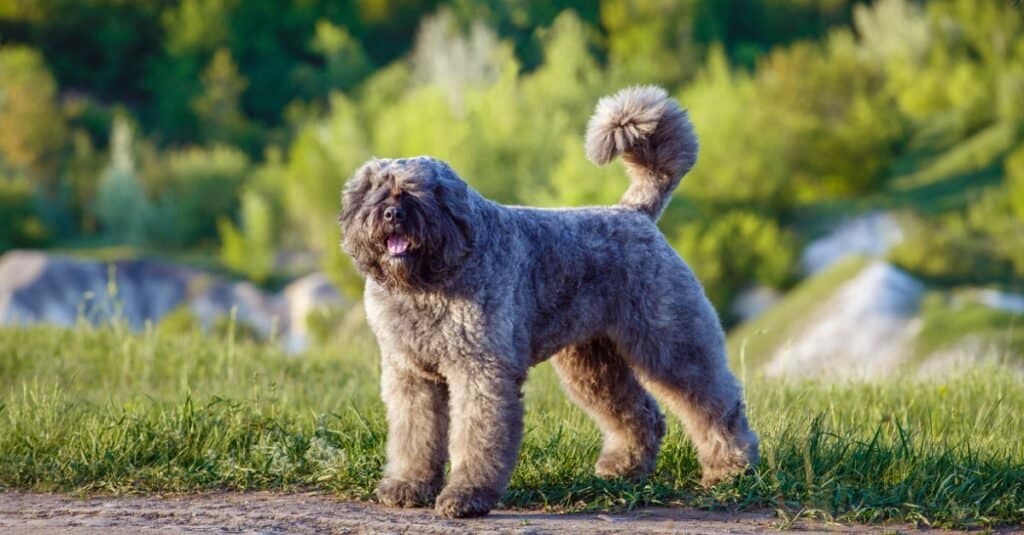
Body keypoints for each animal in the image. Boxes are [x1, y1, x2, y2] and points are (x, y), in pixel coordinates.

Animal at [339, 85, 757, 514]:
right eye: (373, 190)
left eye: (422, 191)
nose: (393, 213)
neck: (431, 280)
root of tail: (635, 213)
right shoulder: (411, 374)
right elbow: (414, 435)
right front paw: (409, 484)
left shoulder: (479, 371)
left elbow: (476, 436)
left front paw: (467, 494)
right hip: (593, 362)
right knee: (639, 412)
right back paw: (623, 468)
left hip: (671, 343)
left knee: (712, 402)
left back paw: (730, 468)